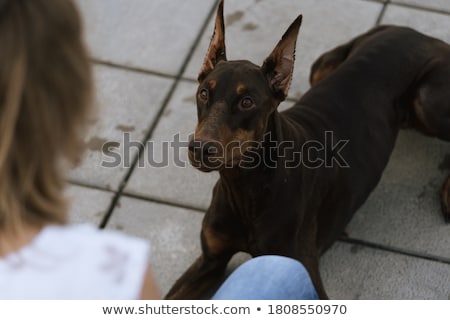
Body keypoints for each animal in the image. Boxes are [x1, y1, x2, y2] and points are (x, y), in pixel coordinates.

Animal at [165, 0, 450, 300]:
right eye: (204, 93)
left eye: (246, 102)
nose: (199, 148)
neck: (247, 187)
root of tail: (418, 34)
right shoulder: (211, 260)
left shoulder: (299, 273)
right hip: (322, 66)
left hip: (426, 101)